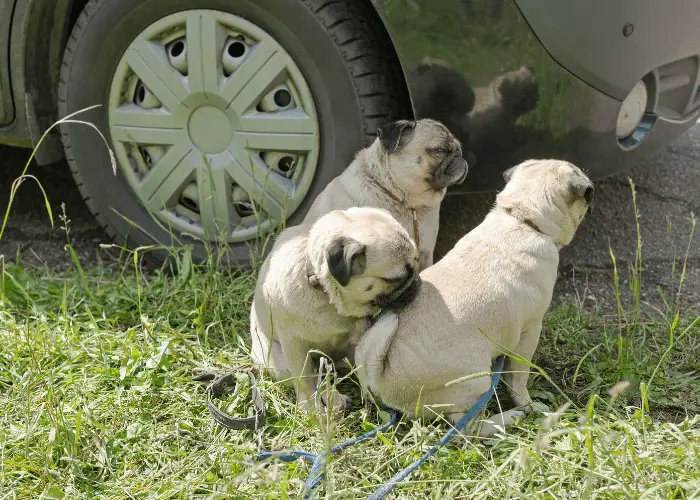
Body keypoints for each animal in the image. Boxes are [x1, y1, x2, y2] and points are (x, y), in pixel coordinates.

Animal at [249, 205, 418, 412]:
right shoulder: (294, 346)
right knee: (317, 378)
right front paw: (311, 411)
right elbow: (305, 380)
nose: (417, 281)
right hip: (280, 363)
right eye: (395, 279)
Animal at [356, 160, 592, 438]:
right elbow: (518, 378)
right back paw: (506, 419)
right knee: (467, 428)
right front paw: (527, 403)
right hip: (476, 381)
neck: (522, 218)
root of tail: (380, 377)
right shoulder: (530, 331)